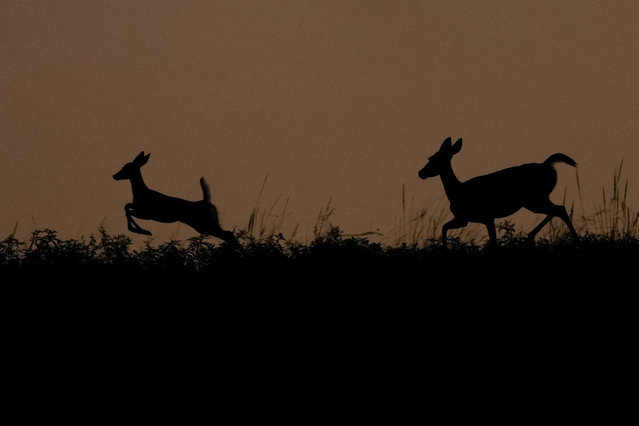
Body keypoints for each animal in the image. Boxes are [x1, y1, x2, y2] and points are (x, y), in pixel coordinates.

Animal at [112, 151, 242, 250]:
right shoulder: (140, 209)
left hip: (203, 224)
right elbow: (126, 206)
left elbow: (127, 210)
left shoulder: (146, 213)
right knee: (228, 234)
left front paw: (143, 231)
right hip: (209, 223)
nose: (114, 175)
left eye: (126, 167)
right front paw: (141, 230)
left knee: (228, 234)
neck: (141, 193)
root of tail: (205, 201)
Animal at [420, 138, 580, 248]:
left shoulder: (475, 216)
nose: (420, 172)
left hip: (534, 198)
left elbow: (445, 227)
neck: (456, 191)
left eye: (432, 159)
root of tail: (547, 165)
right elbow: (445, 227)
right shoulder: (473, 218)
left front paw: (445, 249)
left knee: (559, 209)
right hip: (537, 198)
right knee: (558, 209)